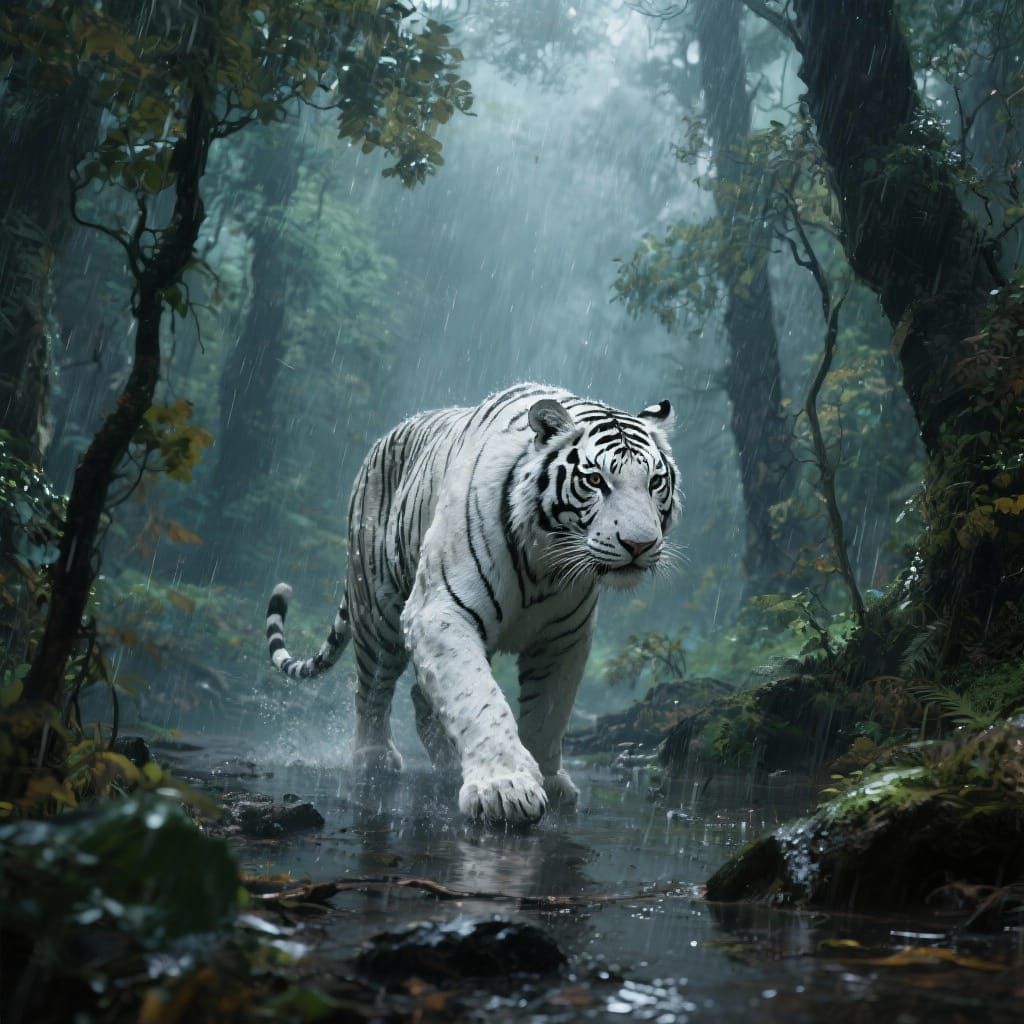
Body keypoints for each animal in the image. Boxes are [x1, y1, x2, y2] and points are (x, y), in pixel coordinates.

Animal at [265, 383, 680, 826]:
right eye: (596, 479)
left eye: (655, 481)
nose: (639, 545)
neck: (548, 563)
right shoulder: (439, 612)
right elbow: (477, 699)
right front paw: (504, 788)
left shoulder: (564, 637)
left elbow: (549, 713)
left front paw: (550, 781)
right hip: (377, 608)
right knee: (372, 686)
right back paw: (373, 759)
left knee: (420, 696)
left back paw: (448, 761)